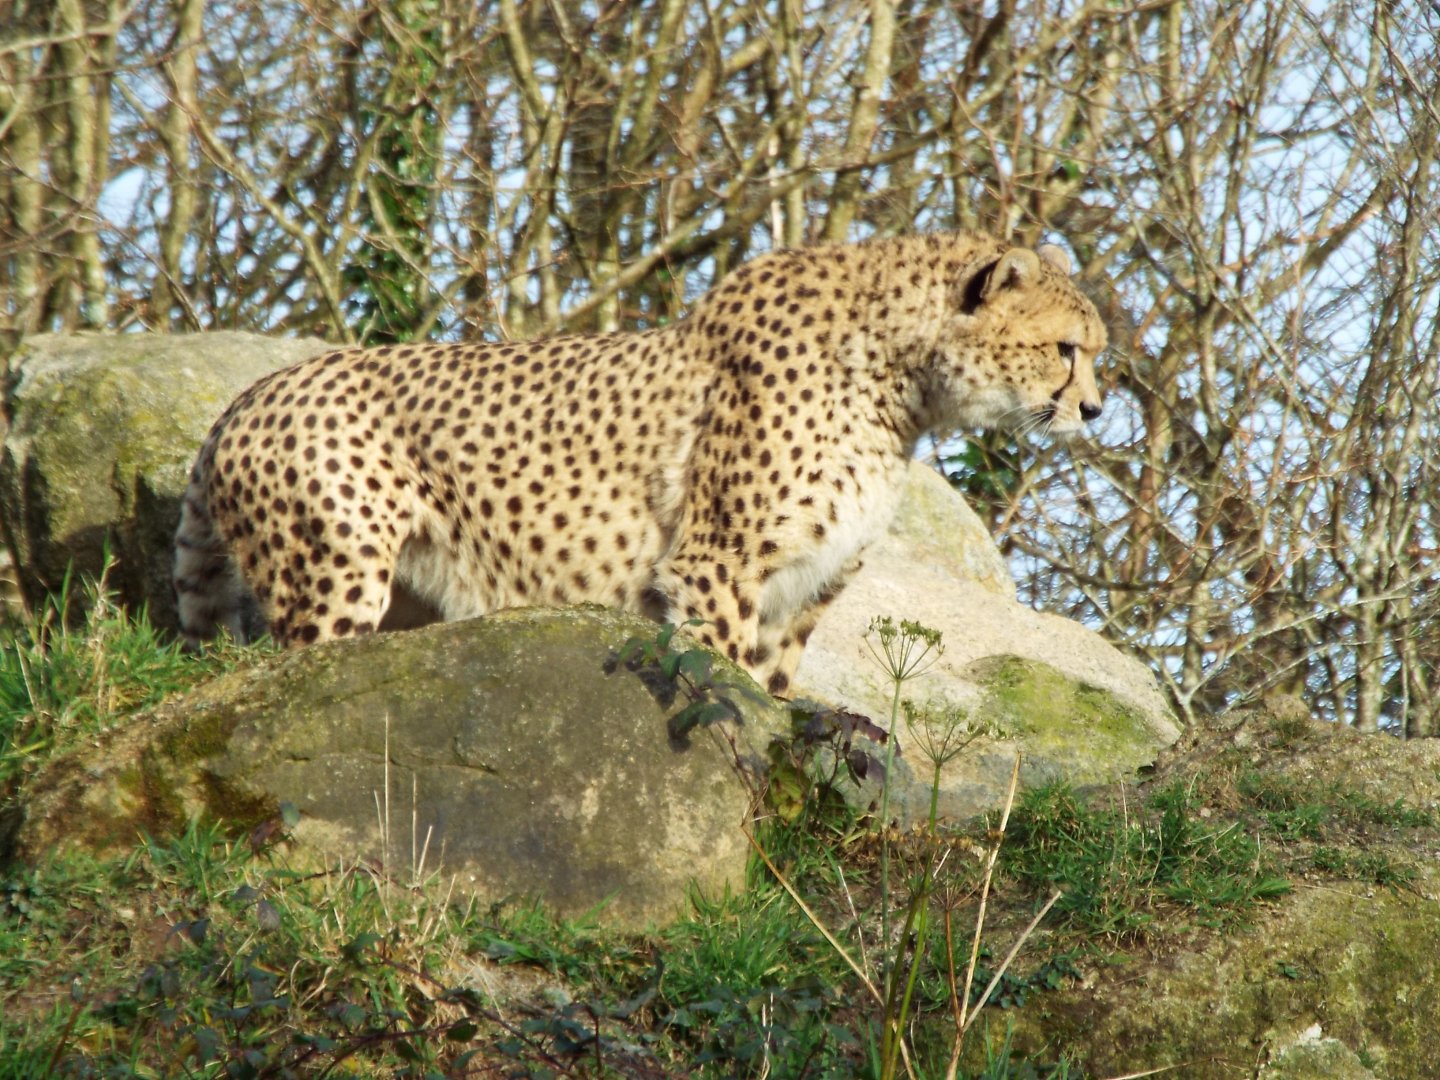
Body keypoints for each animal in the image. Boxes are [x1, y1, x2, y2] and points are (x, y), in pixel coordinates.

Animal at [173, 231, 1106, 696]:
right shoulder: (716, 563)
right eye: (1067, 349)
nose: (1096, 410)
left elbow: (772, 688)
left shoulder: (802, 588)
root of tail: (243, 399)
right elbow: (729, 675)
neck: (899, 378)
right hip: (335, 574)